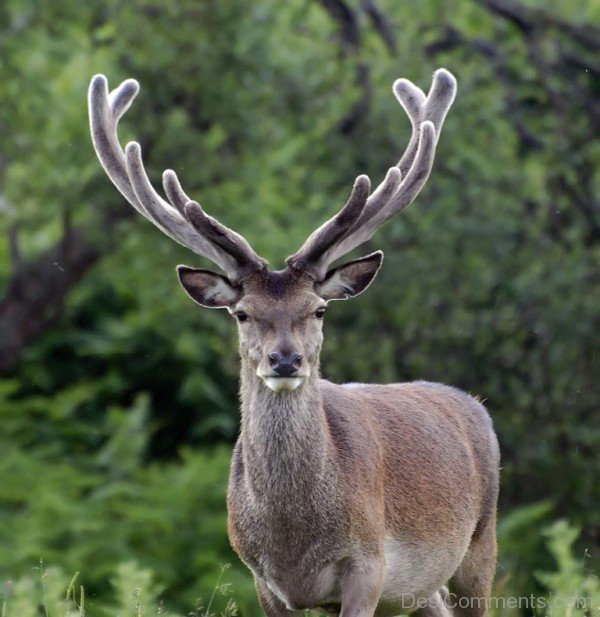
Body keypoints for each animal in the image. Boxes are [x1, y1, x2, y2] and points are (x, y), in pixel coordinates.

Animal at [89, 67, 500, 616]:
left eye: (319, 309)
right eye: (241, 313)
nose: (285, 359)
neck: (293, 540)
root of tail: (474, 405)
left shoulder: (368, 563)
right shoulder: (263, 580)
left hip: (480, 543)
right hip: (420, 589)